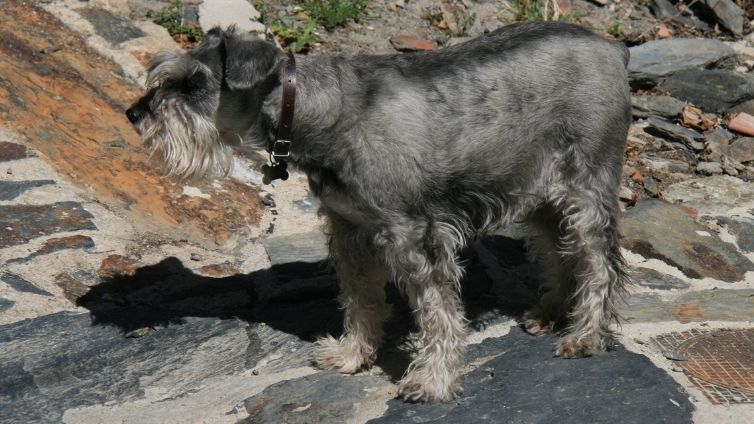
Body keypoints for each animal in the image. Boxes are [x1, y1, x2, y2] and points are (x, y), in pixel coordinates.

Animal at [128, 21, 628, 402]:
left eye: (193, 84)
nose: (135, 114)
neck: (317, 112)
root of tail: (612, 47)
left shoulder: (415, 239)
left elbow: (439, 315)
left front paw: (431, 381)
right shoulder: (350, 230)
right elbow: (360, 300)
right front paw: (352, 355)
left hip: (584, 191)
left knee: (599, 264)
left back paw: (586, 335)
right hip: (539, 195)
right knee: (557, 251)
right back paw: (549, 312)